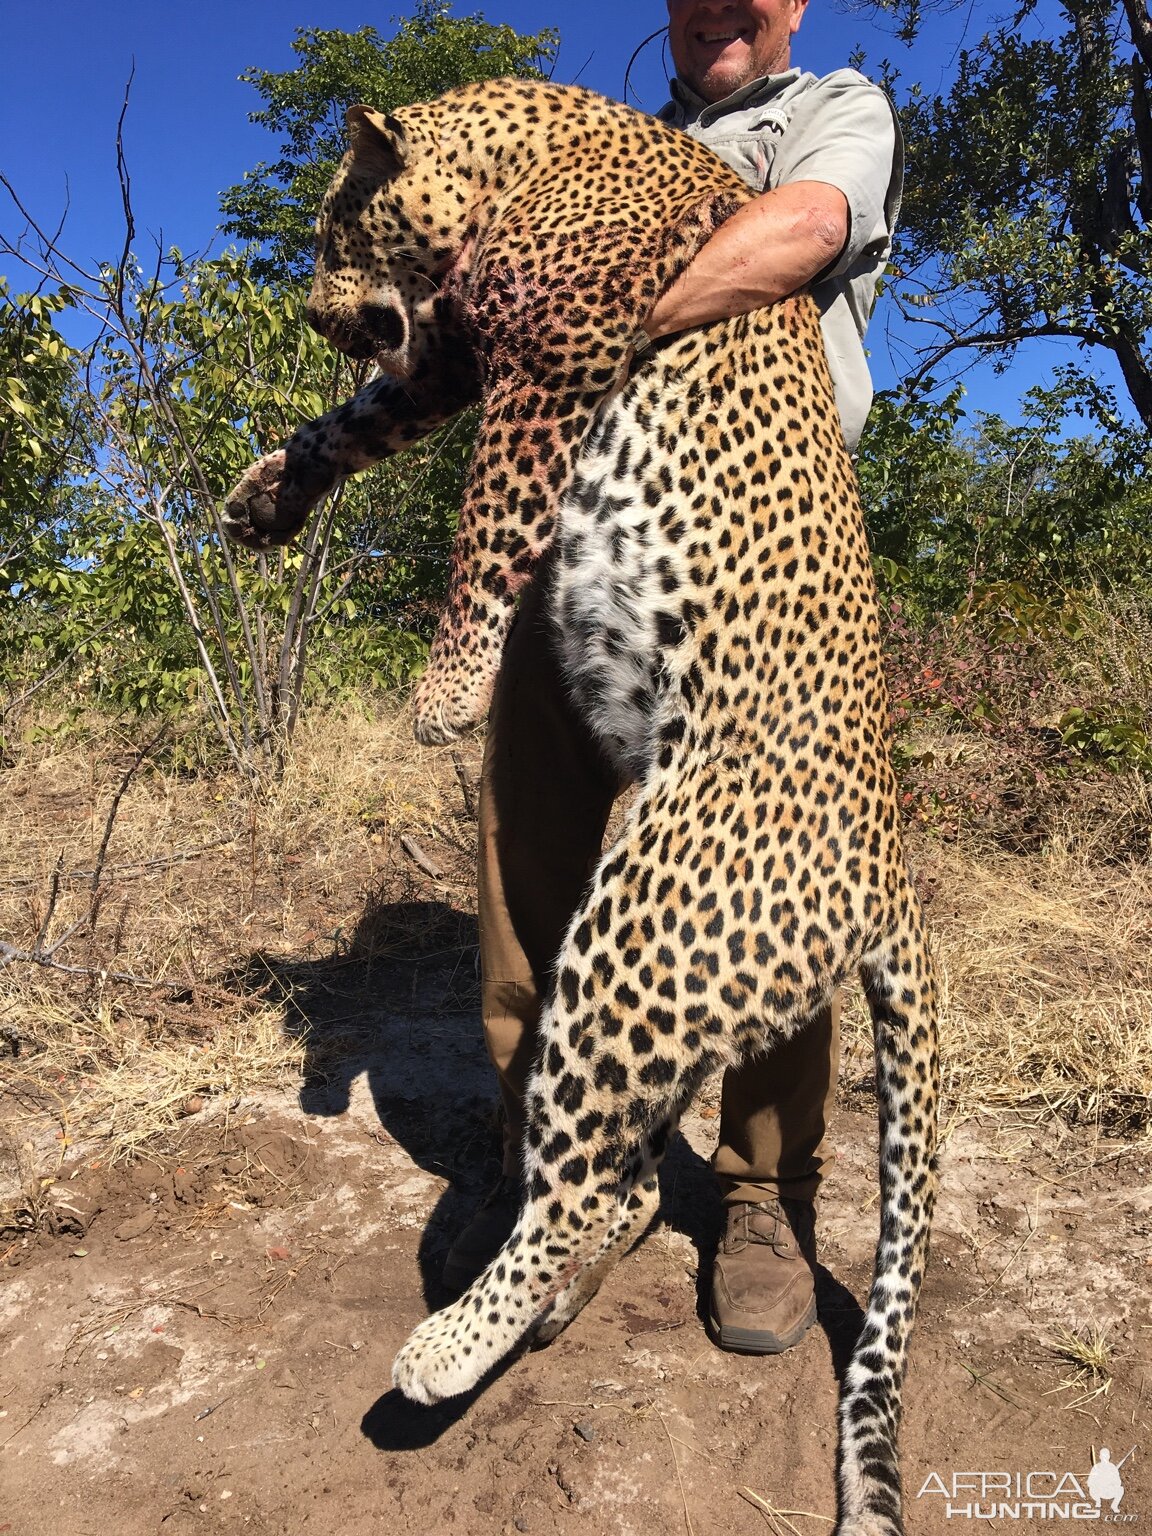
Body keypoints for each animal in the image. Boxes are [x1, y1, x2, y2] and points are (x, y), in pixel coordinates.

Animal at [221, 74, 940, 1536]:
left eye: (331, 230)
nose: (317, 319)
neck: (517, 153)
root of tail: (890, 869)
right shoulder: (452, 355)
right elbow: (357, 421)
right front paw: (267, 493)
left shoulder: (552, 352)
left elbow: (488, 521)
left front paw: (443, 691)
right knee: (614, 1165)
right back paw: (542, 1288)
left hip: (643, 933)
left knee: (587, 1169)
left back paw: (448, 1348)